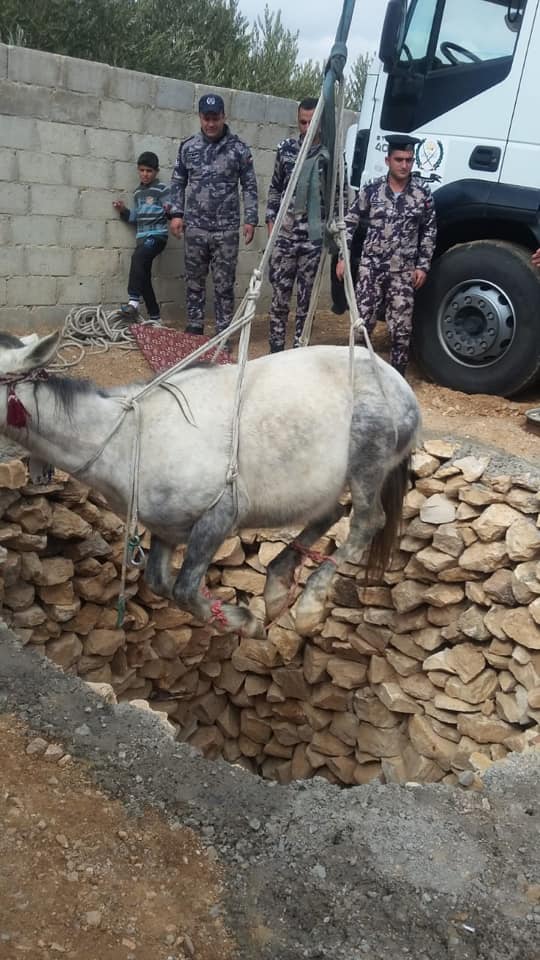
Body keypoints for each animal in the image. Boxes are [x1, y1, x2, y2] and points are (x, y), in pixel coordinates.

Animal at [0, 330, 420, 636]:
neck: (127, 438)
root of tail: (398, 382)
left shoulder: (220, 515)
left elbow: (184, 590)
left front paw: (245, 623)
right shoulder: (166, 528)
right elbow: (159, 583)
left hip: (369, 459)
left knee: (367, 522)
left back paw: (308, 606)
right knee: (330, 514)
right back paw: (277, 586)